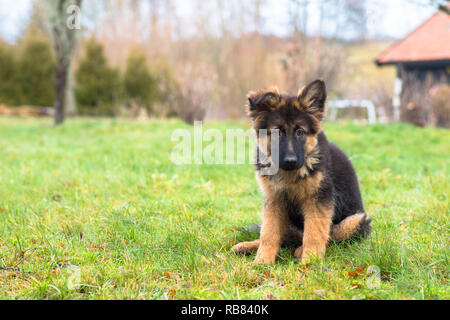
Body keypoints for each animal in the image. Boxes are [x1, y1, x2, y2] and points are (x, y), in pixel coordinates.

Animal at [234, 79, 370, 264]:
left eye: (300, 132)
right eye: (276, 133)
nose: (290, 161)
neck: (288, 174)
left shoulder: (318, 198)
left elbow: (314, 232)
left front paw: (310, 261)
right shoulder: (274, 198)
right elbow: (268, 232)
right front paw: (262, 261)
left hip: (356, 220)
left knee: (330, 236)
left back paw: (299, 250)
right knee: (285, 238)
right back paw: (248, 246)